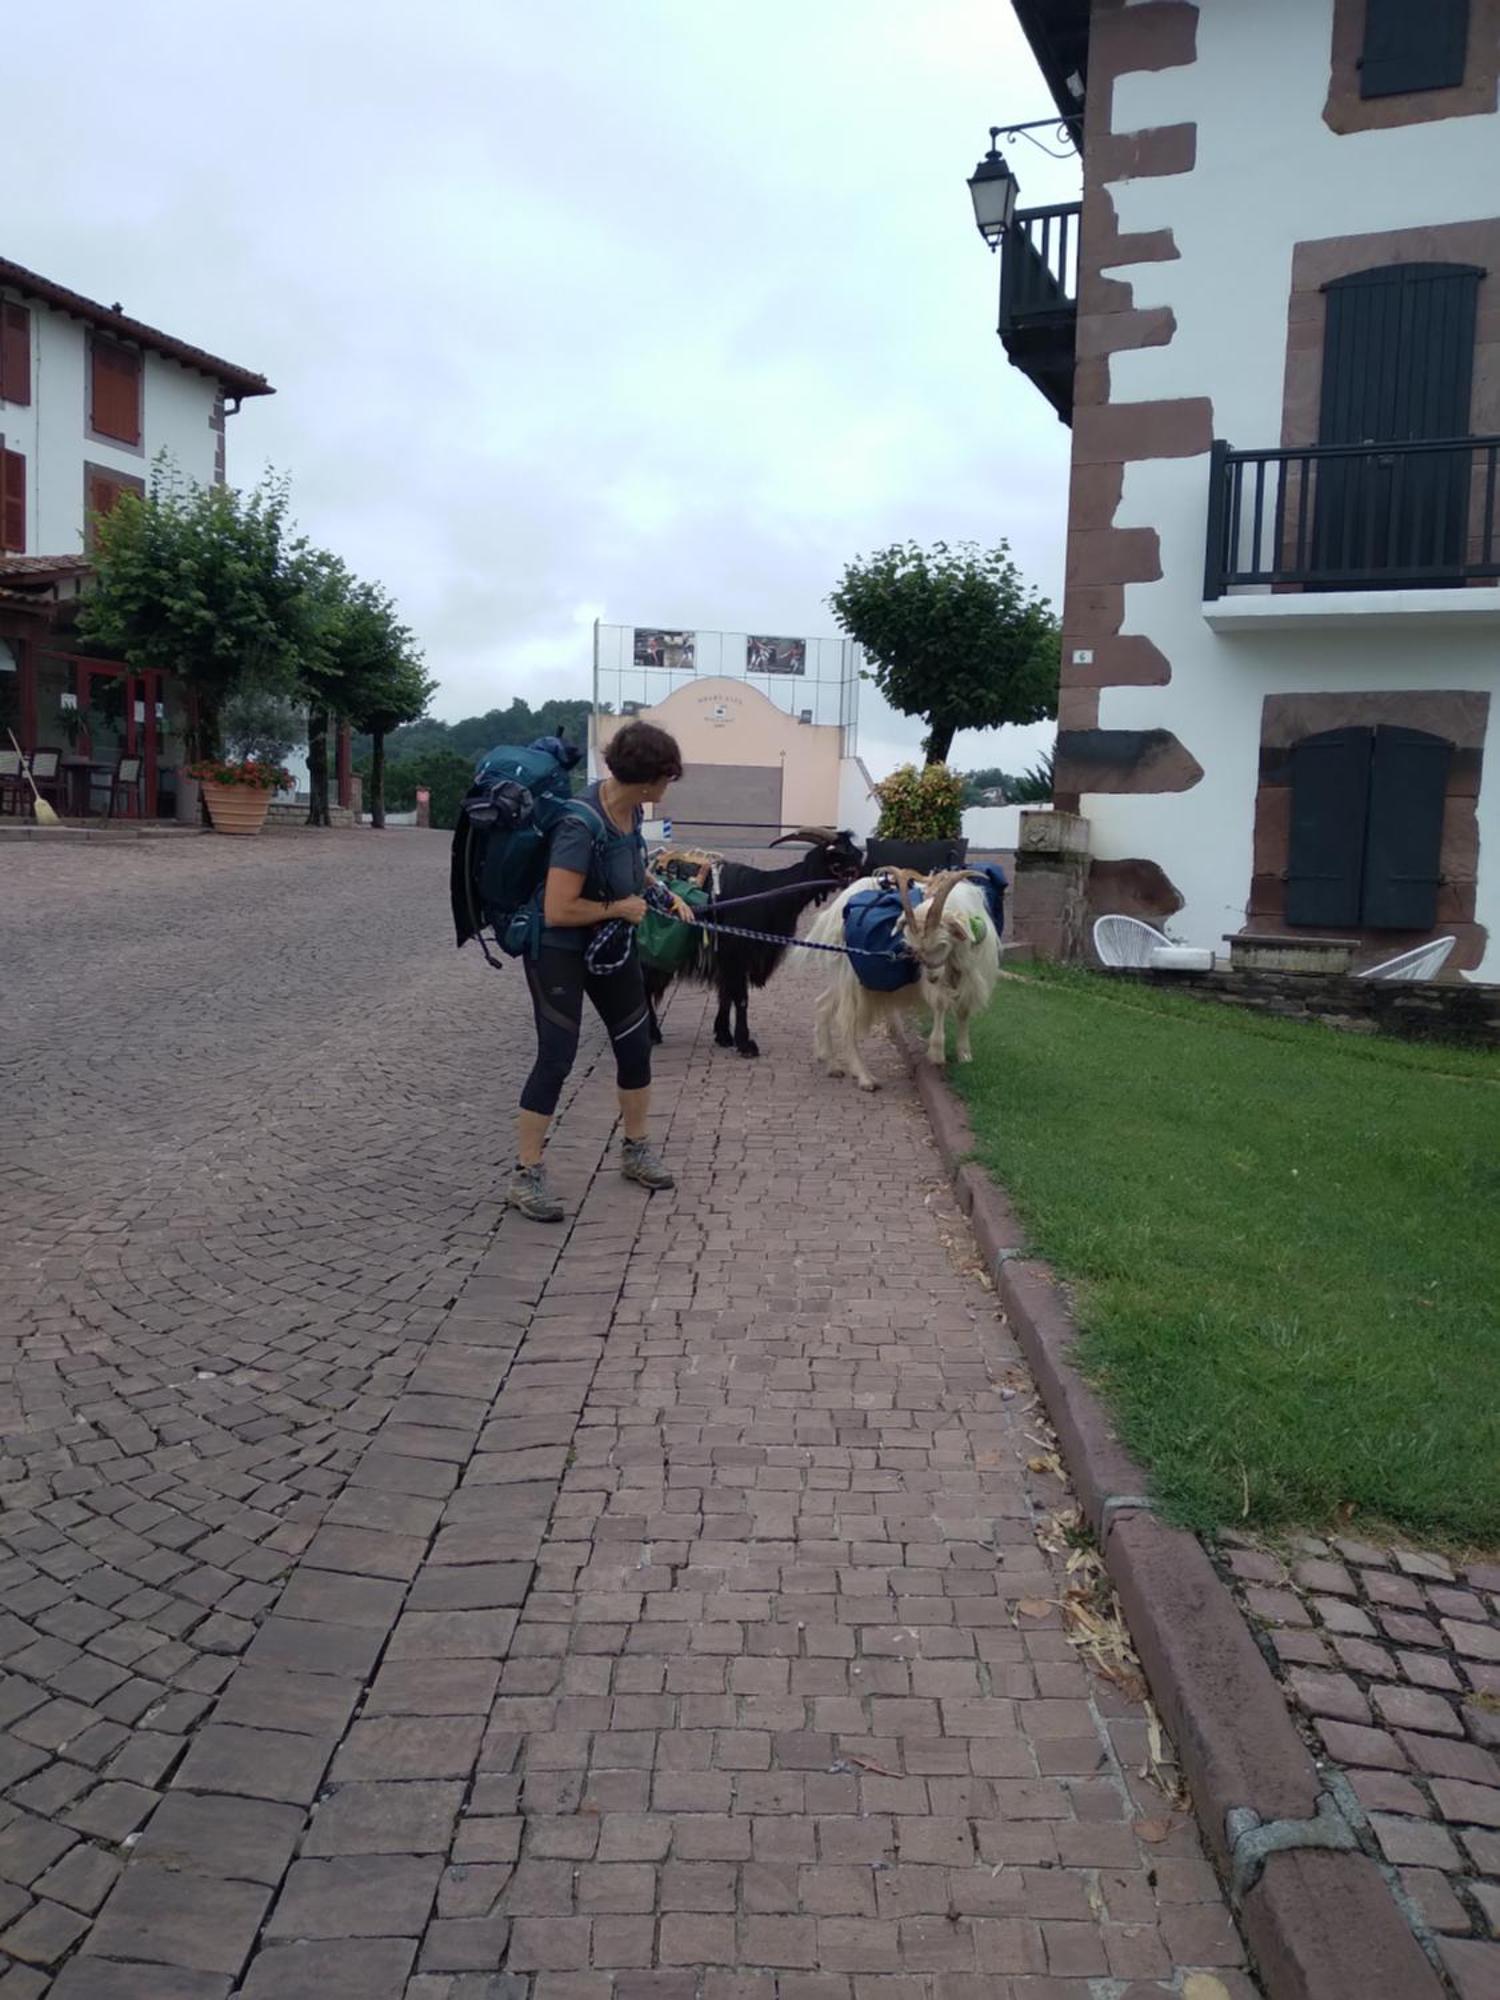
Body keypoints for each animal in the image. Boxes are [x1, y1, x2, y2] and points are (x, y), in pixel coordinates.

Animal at [648, 824, 868, 1056]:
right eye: (844, 851)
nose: (867, 872)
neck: (768, 893)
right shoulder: (736, 953)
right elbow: (740, 998)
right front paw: (745, 1044)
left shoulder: (728, 959)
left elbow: (726, 995)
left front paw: (724, 1036)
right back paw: (653, 1033)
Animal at [804, 876, 1004, 1096]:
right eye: (915, 950)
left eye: (942, 944)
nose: (932, 977)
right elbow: (940, 1005)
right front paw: (937, 1053)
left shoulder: (969, 979)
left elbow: (963, 1012)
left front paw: (964, 1054)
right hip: (852, 977)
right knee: (845, 1021)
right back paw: (865, 1077)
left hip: (842, 978)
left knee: (822, 1004)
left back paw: (831, 1064)